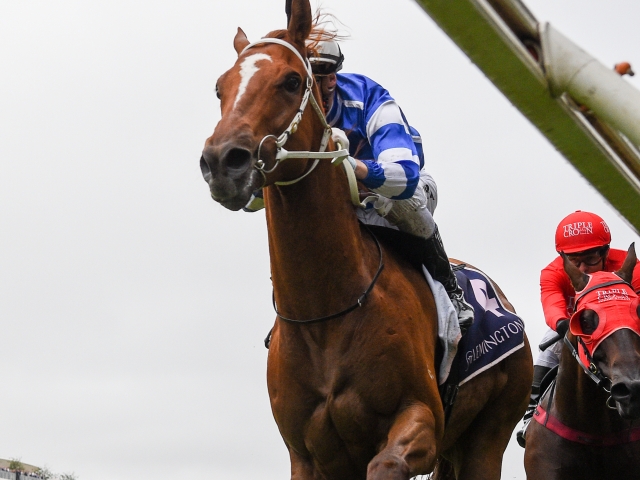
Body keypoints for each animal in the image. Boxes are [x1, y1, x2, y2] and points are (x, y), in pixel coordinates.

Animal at [202, 1, 532, 478]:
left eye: (291, 81)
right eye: (220, 88)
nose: (222, 161)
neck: (326, 316)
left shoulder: (421, 420)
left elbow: (388, 462)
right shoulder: (306, 455)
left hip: (489, 434)